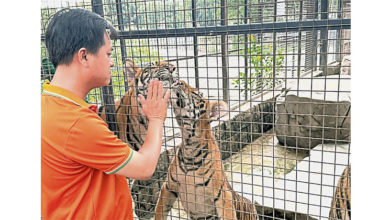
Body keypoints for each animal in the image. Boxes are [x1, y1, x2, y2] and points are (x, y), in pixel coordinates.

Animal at [155, 80, 258, 220]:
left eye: (197, 93)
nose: (179, 81)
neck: (190, 145)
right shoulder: (168, 187)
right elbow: (159, 211)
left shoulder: (223, 196)